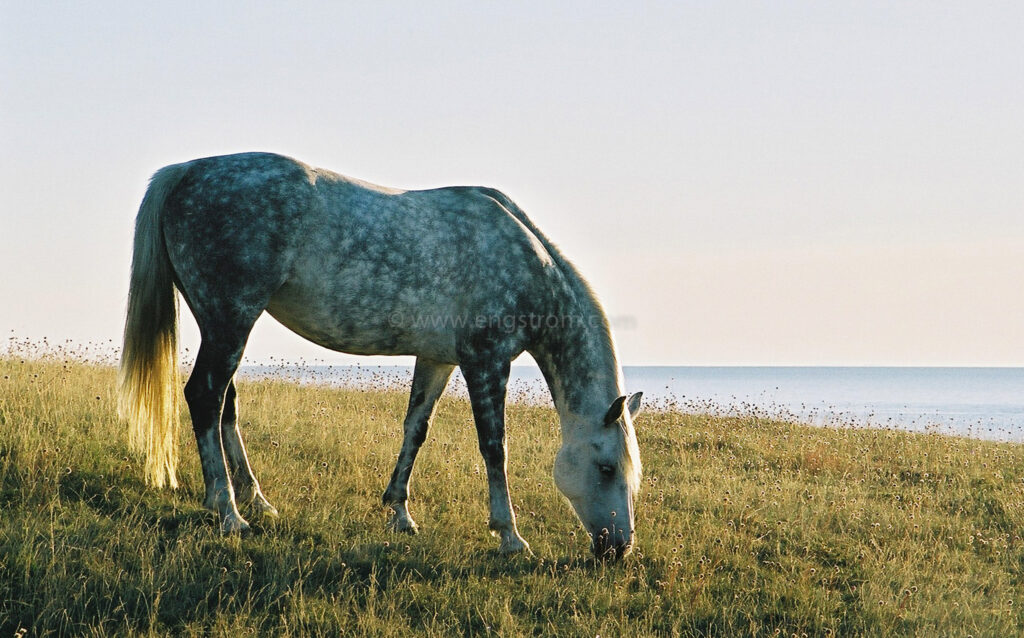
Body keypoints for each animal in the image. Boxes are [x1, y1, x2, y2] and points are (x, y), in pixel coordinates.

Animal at [117, 150, 638, 557]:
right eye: (606, 467)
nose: (619, 548)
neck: (527, 261)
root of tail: (186, 170)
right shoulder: (486, 363)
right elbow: (495, 447)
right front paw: (509, 535)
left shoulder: (438, 359)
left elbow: (415, 429)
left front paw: (399, 513)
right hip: (231, 320)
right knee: (205, 396)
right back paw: (229, 512)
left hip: (223, 324)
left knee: (226, 403)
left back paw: (255, 500)